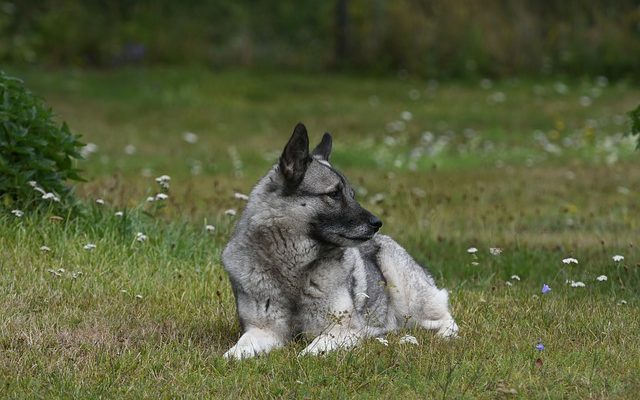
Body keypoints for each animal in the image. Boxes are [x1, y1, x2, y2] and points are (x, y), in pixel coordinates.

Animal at [222, 122, 458, 360]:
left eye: (352, 195)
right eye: (334, 193)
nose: (377, 223)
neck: (293, 268)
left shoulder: (342, 329)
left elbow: (310, 351)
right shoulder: (263, 330)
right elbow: (236, 351)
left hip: (407, 294)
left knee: (445, 318)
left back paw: (443, 335)